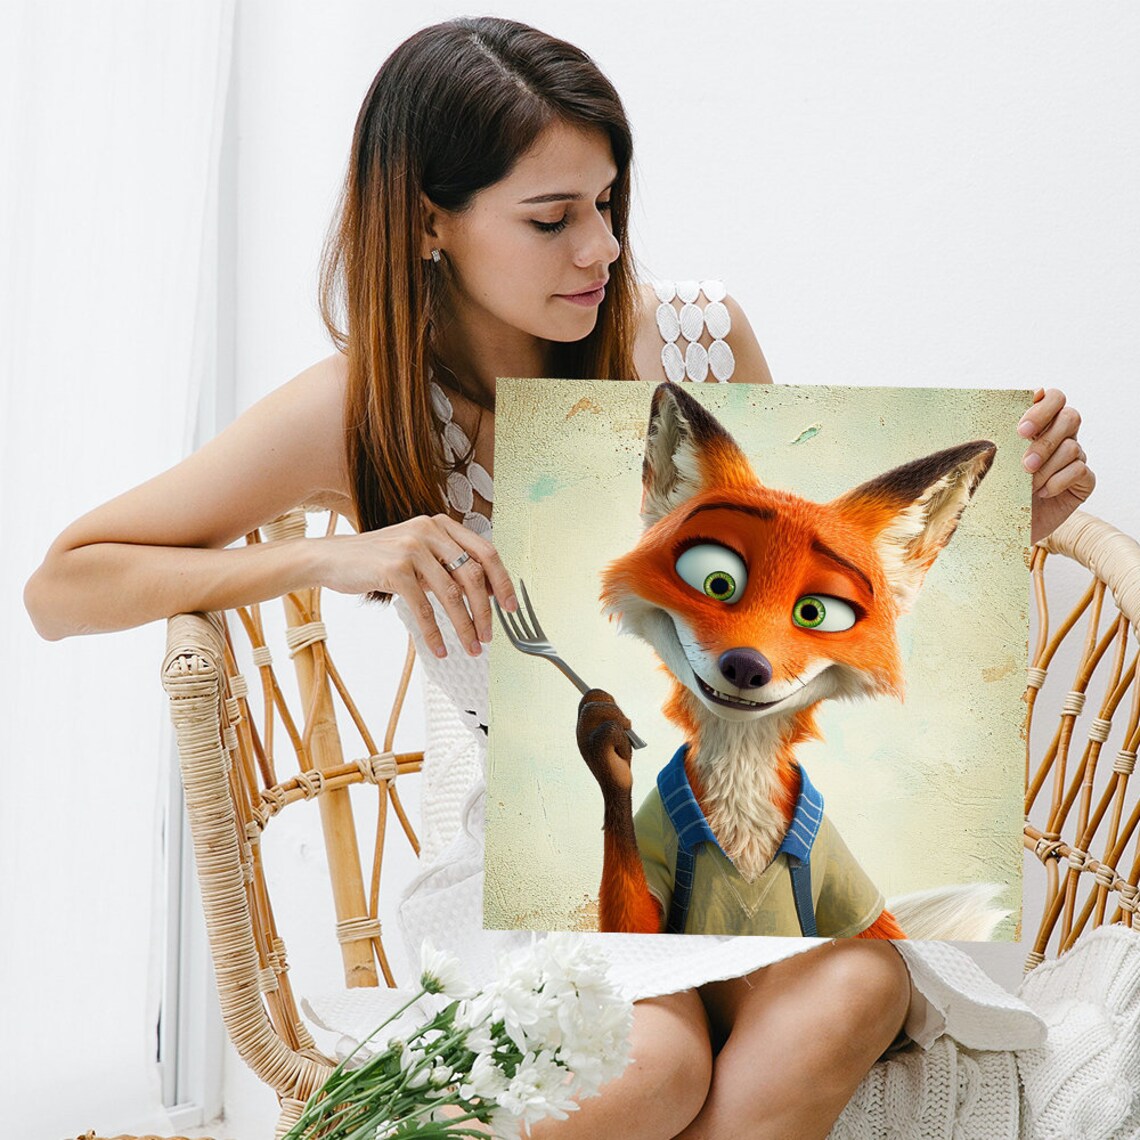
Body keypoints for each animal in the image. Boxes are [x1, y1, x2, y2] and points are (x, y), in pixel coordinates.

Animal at [574, 381, 1009, 940]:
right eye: (716, 582)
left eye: (815, 613)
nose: (746, 666)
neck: (742, 821)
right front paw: (608, 749)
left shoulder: (843, 875)